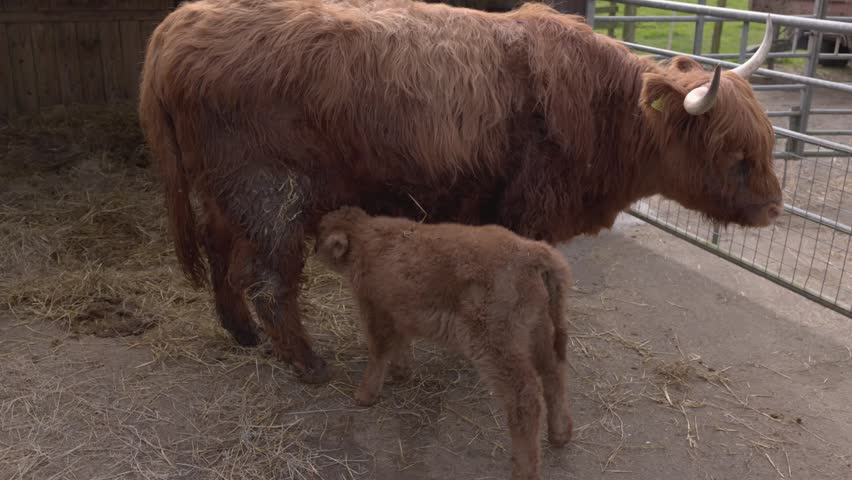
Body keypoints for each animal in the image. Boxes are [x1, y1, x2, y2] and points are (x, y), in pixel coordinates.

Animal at [138, 0, 783, 383]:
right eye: (736, 156)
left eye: (767, 146)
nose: (775, 208)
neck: (603, 112)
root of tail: (180, 22)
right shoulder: (527, 216)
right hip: (271, 196)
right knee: (272, 284)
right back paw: (309, 364)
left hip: (223, 194)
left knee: (220, 254)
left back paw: (241, 333)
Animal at [314, 206, 573, 480]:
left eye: (320, 235)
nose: (313, 248)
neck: (364, 237)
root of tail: (532, 253)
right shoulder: (400, 312)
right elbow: (400, 343)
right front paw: (401, 373)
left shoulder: (375, 309)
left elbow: (378, 350)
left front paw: (365, 395)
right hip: (539, 332)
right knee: (553, 374)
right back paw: (559, 434)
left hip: (498, 346)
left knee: (525, 399)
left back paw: (525, 470)